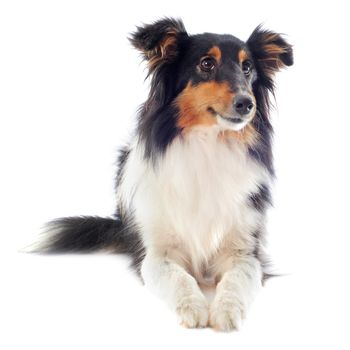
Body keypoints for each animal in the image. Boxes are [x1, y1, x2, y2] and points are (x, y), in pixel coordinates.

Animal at [36, 18, 292, 330]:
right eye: (206, 63)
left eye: (247, 68)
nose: (247, 104)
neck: (208, 143)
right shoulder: (156, 254)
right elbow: (177, 278)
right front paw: (193, 308)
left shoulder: (246, 250)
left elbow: (236, 281)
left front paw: (226, 311)